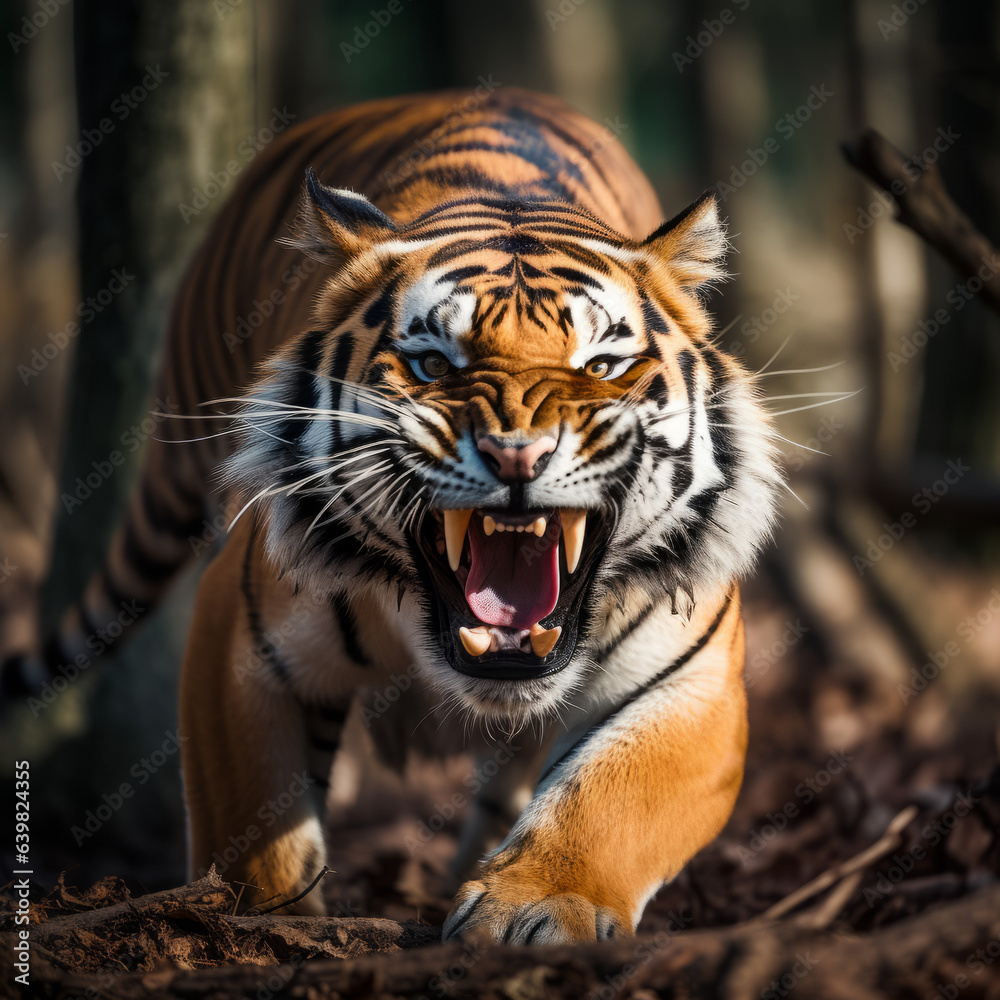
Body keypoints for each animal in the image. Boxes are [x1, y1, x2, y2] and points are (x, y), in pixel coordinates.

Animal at [4, 88, 781, 944]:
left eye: (602, 366)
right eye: (434, 364)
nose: (518, 454)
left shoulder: (694, 678)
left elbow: (609, 799)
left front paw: (532, 904)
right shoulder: (238, 638)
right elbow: (254, 829)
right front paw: (261, 923)